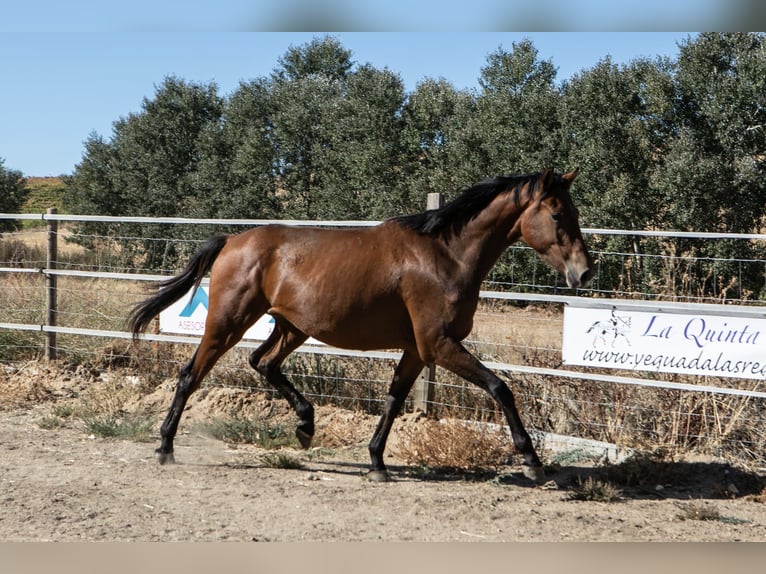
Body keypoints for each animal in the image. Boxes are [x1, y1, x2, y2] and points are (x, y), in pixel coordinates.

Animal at [128, 168, 594, 483]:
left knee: (263, 363)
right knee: (191, 375)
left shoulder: (417, 350)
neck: (447, 256)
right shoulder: (439, 344)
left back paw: (306, 426)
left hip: (292, 327)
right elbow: (500, 388)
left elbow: (392, 401)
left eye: (573, 211)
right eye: (556, 215)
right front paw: (532, 462)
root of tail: (231, 240)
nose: (585, 273)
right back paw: (165, 447)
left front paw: (376, 463)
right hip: (228, 323)